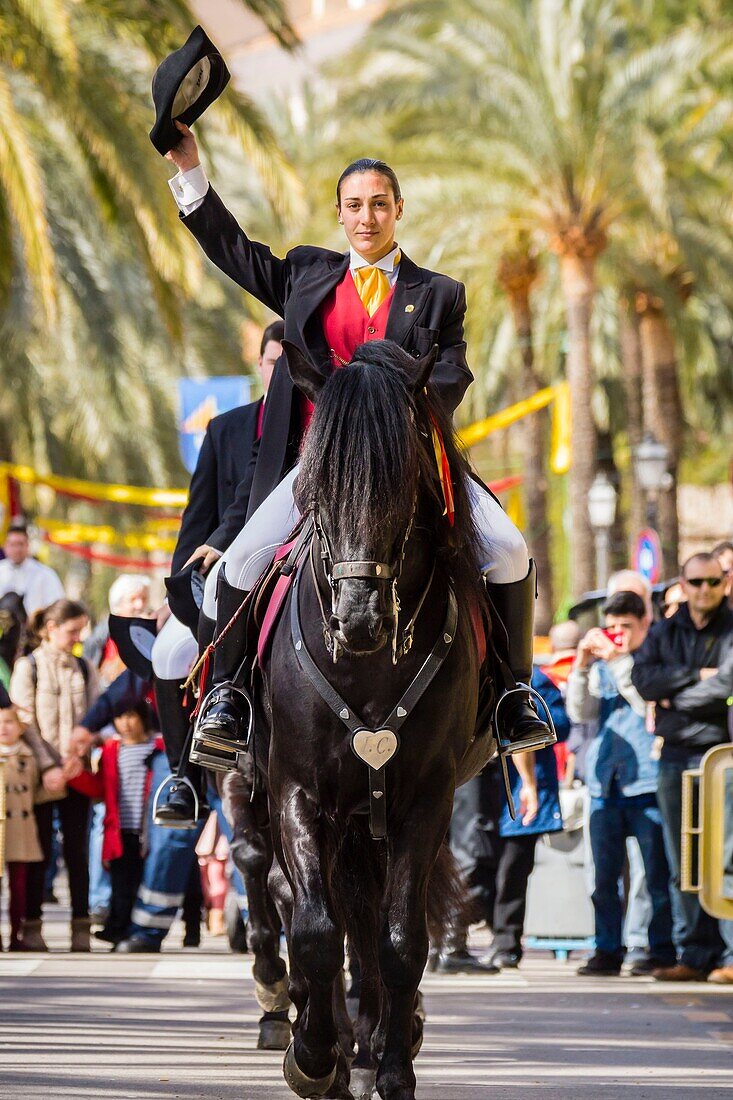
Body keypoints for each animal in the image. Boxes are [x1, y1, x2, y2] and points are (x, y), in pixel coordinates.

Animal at [256, 343, 497, 1100]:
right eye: (316, 485)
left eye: (403, 484)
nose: (358, 621)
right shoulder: (297, 789)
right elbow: (313, 929)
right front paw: (312, 1058)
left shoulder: (424, 798)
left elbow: (399, 940)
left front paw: (390, 1067)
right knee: (319, 912)